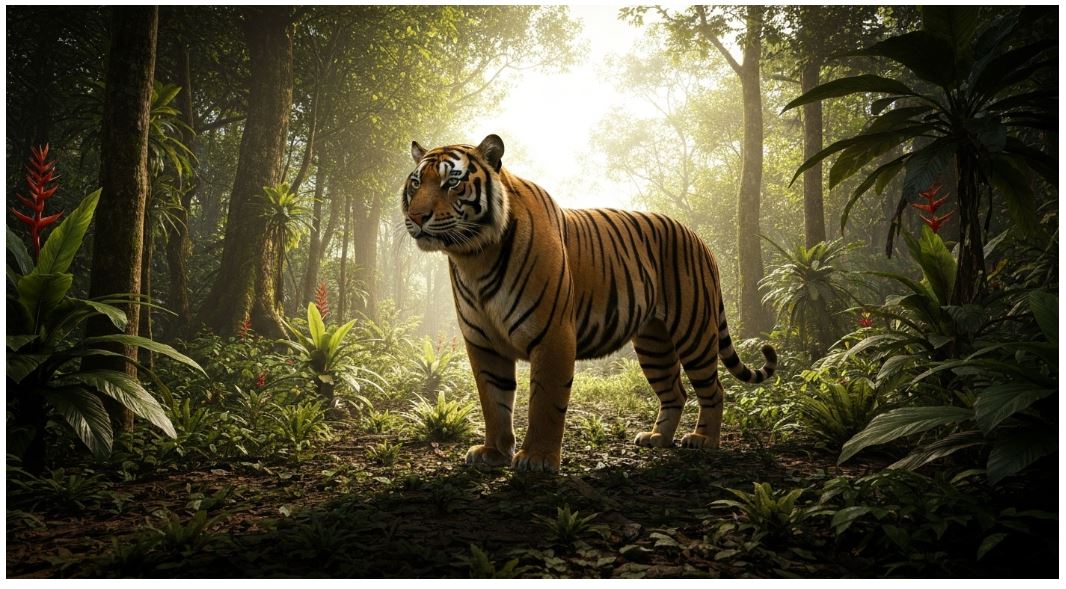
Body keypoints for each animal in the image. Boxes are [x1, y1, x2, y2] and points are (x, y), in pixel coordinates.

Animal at [402, 134, 777, 473]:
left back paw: (704, 440)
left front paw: (537, 459)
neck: (474, 256)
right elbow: (493, 401)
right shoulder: (483, 343)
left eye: (452, 181)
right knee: (675, 391)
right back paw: (657, 438)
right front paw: (493, 453)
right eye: (416, 183)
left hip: (694, 330)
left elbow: (545, 401)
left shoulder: (552, 334)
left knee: (714, 388)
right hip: (653, 342)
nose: (417, 217)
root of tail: (699, 238)